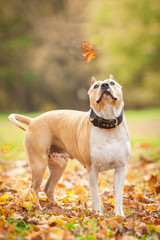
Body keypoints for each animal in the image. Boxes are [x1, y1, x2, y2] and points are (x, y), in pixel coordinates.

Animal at [8, 74, 131, 216]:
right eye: (96, 86)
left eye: (112, 83)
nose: (104, 85)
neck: (108, 124)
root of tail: (33, 120)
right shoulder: (92, 170)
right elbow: (95, 196)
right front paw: (98, 214)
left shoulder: (121, 168)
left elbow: (119, 194)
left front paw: (119, 215)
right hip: (39, 164)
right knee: (34, 187)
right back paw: (39, 209)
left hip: (59, 165)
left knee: (48, 188)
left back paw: (57, 207)